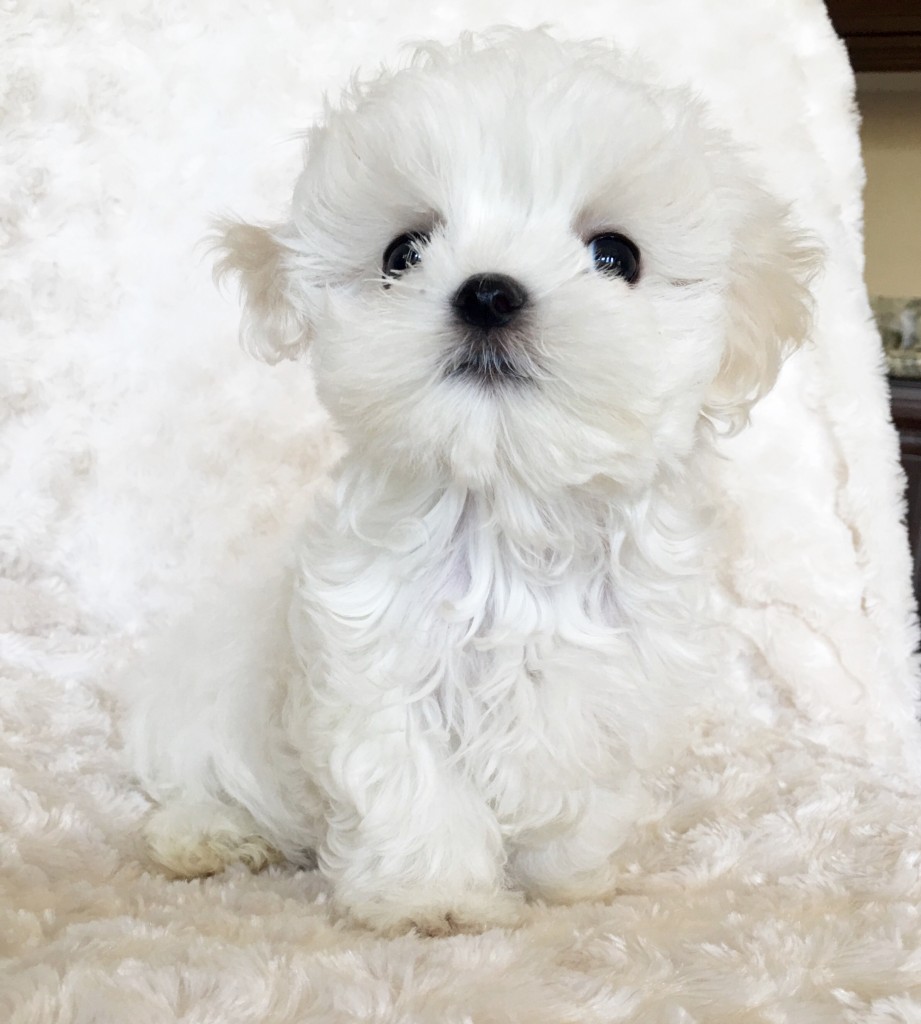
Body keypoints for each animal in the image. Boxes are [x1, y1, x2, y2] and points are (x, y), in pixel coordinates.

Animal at [126, 28, 819, 937]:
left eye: (616, 256)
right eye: (402, 253)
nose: (488, 292)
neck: (509, 506)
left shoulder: (606, 687)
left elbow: (578, 799)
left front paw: (568, 885)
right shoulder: (378, 667)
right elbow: (413, 789)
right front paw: (438, 902)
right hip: (201, 720)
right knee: (198, 788)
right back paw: (207, 839)